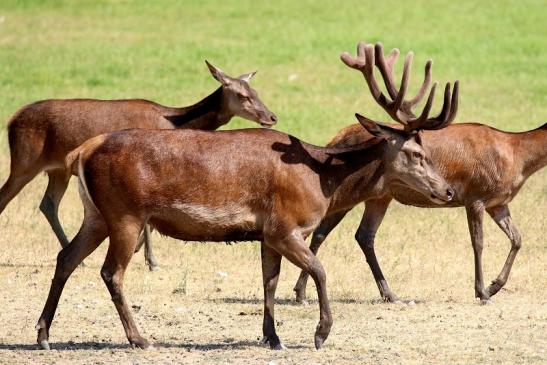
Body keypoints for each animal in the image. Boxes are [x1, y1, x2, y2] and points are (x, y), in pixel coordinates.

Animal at [0, 61, 274, 268]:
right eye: (242, 95)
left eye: (257, 93)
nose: (271, 117)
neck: (173, 122)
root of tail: (12, 120)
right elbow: (149, 223)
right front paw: (150, 259)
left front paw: (141, 253)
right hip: (24, 161)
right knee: (7, 197)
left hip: (57, 169)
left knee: (48, 203)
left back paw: (77, 255)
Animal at [34, 44, 460, 352]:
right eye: (416, 153)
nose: (448, 190)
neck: (322, 180)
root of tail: (82, 152)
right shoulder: (286, 224)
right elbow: (320, 269)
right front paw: (321, 333)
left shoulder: (266, 233)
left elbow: (268, 281)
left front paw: (273, 336)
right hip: (126, 213)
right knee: (111, 272)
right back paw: (139, 338)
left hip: (96, 214)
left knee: (66, 258)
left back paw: (43, 335)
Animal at [294, 42, 547, 304]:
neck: (517, 157)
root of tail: (336, 137)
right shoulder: (475, 196)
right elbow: (478, 243)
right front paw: (482, 292)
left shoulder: (499, 202)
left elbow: (517, 239)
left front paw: (495, 285)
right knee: (322, 231)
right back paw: (302, 292)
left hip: (379, 196)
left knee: (362, 234)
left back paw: (387, 293)